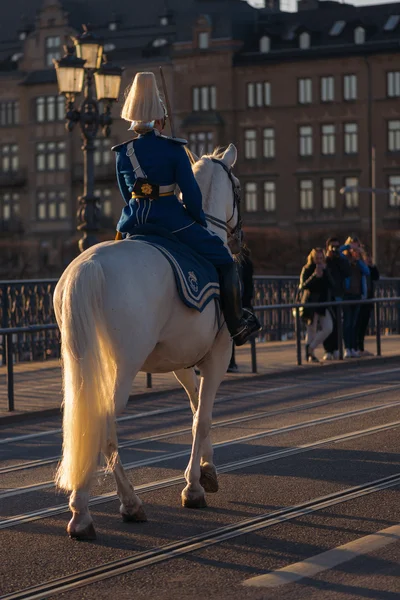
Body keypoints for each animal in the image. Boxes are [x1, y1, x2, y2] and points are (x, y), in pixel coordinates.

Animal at [53, 144, 241, 540]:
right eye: (238, 188)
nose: (237, 236)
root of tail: (88, 266)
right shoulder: (218, 354)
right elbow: (203, 416)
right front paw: (193, 486)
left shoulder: (181, 361)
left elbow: (196, 409)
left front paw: (207, 470)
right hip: (122, 367)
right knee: (104, 423)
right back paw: (107, 507)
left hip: (83, 363)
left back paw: (96, 507)